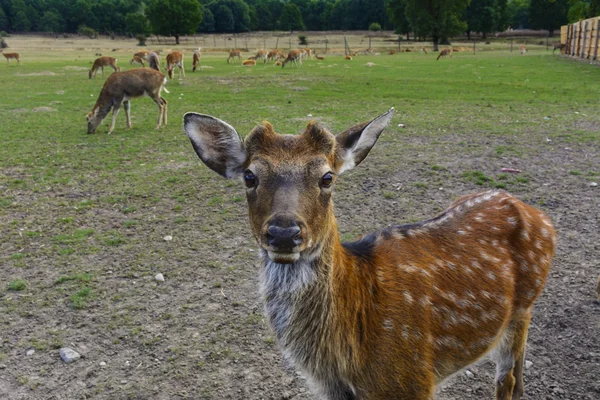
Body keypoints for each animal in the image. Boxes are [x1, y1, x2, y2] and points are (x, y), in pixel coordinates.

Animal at [180, 108, 556, 400]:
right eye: (249, 176)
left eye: (327, 177)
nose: (284, 232)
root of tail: (536, 213)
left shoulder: (415, 380)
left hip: (523, 305)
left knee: (506, 378)